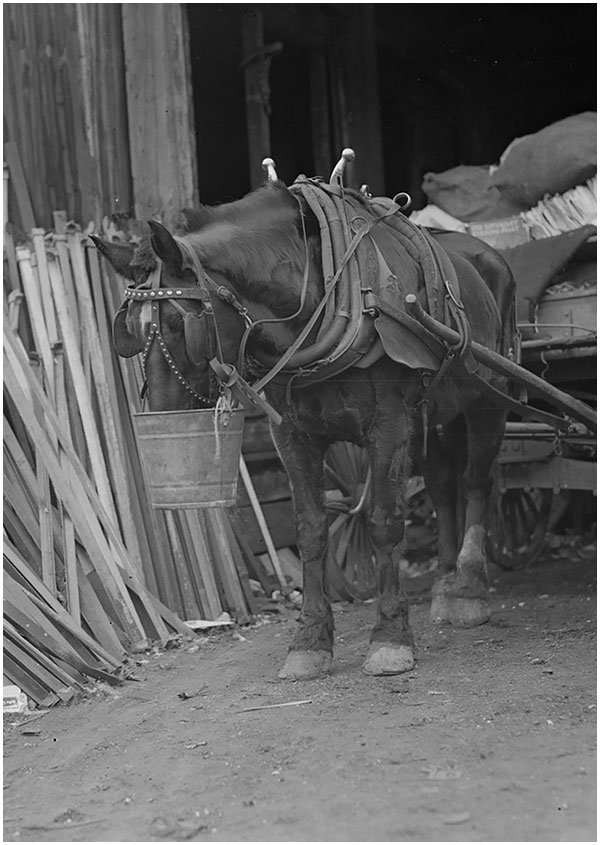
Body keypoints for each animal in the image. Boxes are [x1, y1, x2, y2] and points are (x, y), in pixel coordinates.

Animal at [94, 162, 516, 684]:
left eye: (179, 325)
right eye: (127, 335)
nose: (167, 420)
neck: (331, 295)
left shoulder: (391, 425)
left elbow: (383, 521)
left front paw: (391, 637)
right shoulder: (292, 435)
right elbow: (312, 529)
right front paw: (310, 641)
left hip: (489, 398)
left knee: (476, 481)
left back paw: (470, 586)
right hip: (437, 410)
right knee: (442, 485)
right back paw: (445, 581)